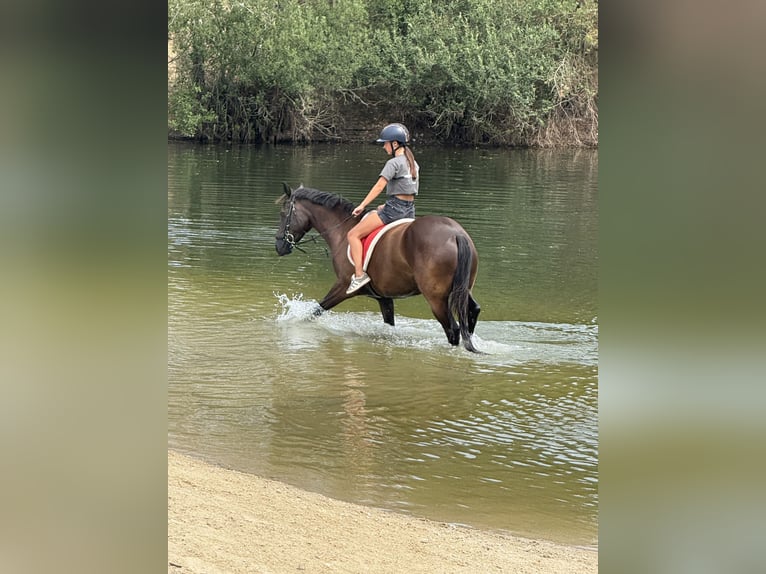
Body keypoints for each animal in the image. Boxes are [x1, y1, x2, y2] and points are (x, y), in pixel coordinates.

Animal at [275, 183, 482, 352]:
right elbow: (389, 325)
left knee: (453, 330)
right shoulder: (384, 297)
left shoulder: (343, 288)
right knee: (473, 312)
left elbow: (313, 312)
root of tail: (455, 233)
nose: (279, 246)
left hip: (436, 299)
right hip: (462, 290)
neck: (342, 231)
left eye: (284, 214)